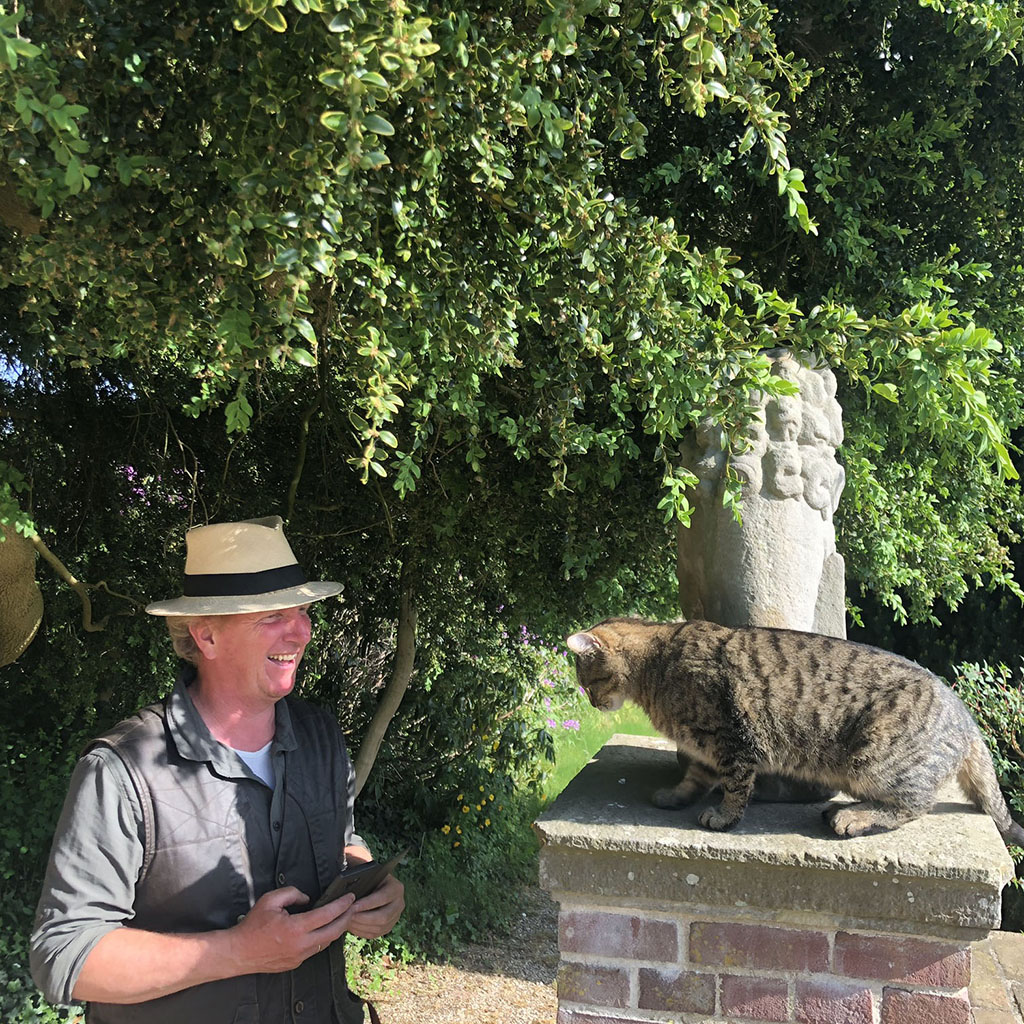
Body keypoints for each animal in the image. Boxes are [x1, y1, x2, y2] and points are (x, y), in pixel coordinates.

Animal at [569, 614, 1024, 839]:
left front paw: (724, 817)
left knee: (914, 805)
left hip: (874, 759)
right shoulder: (704, 747)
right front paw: (676, 795)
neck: (658, 662)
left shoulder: (733, 740)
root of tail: (966, 717)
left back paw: (854, 818)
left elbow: (736, 788)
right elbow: (694, 777)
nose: (592, 702)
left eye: (587, 684)